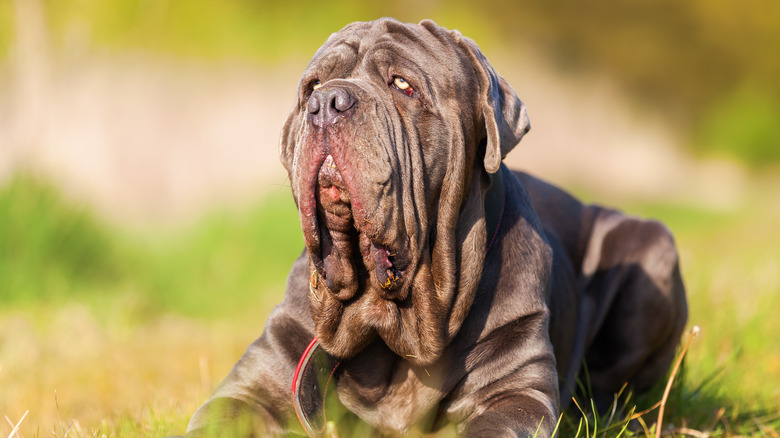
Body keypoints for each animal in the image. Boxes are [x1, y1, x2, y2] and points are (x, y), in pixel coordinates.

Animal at [180, 18, 684, 438]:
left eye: (403, 85)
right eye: (312, 86)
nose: (326, 102)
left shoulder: (515, 396)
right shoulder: (251, 388)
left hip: (651, 249)